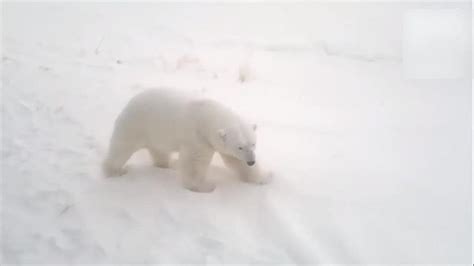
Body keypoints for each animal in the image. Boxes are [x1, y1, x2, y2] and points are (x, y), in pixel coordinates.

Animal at [103, 88, 274, 192]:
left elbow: (235, 162)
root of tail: (130, 102)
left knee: (159, 151)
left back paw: (168, 164)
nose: (251, 161)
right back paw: (114, 171)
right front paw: (205, 186)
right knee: (121, 148)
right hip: (136, 125)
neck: (206, 115)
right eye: (239, 147)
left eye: (253, 144)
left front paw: (264, 178)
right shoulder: (197, 138)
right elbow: (194, 163)